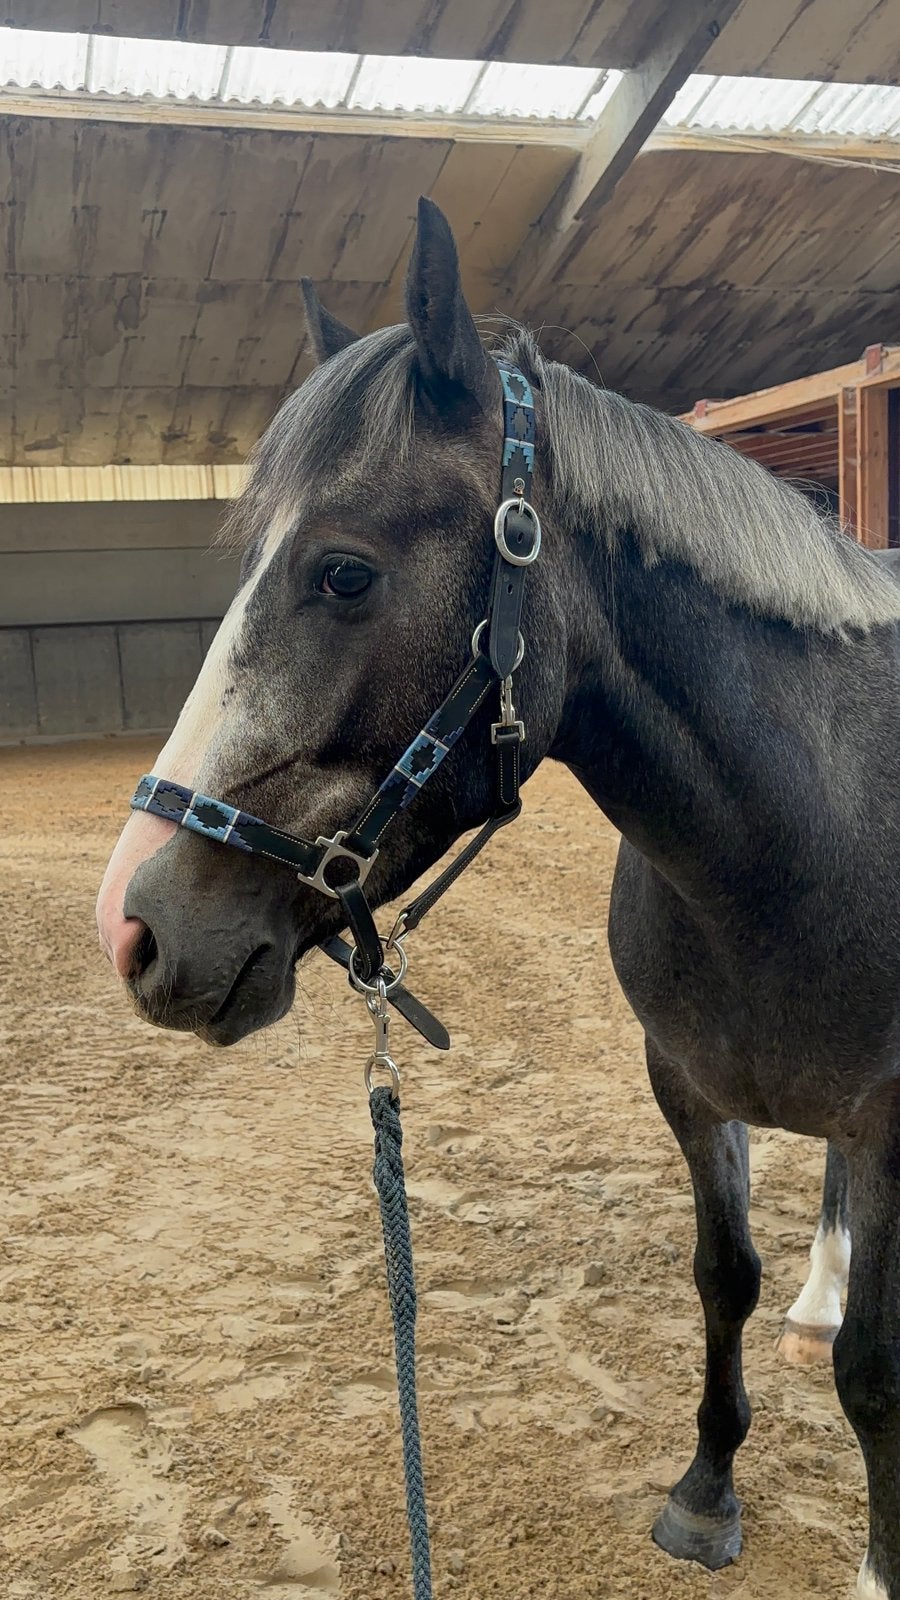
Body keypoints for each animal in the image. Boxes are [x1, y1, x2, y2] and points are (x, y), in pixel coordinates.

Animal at [96, 197, 900, 1599]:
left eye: (344, 573)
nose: (135, 925)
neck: (806, 838)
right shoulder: (685, 1084)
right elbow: (723, 1276)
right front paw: (705, 1488)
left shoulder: (896, 1121)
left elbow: (877, 1372)